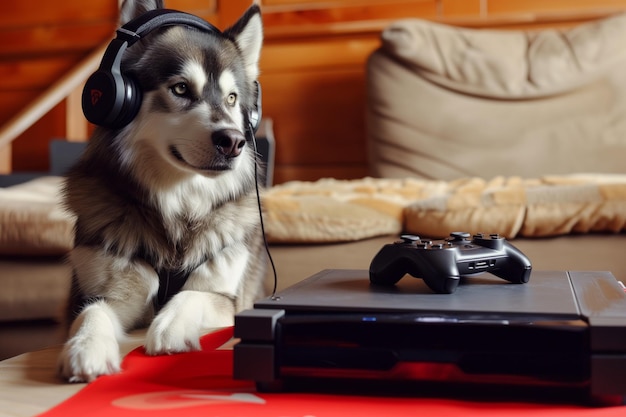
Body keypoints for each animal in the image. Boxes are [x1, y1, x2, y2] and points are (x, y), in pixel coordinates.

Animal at [56, 0, 266, 382]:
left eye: (232, 98)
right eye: (181, 89)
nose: (234, 141)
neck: (178, 207)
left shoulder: (230, 298)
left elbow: (193, 295)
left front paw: (170, 326)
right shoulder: (104, 295)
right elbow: (91, 312)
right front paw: (86, 347)